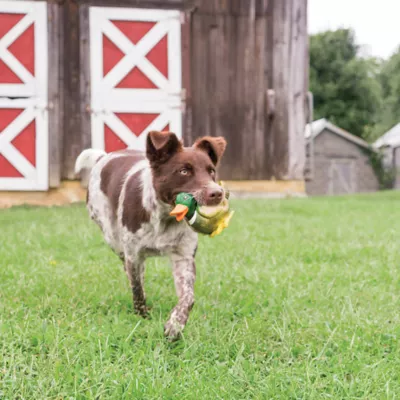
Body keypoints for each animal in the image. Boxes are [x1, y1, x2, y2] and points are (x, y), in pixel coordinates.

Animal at [74, 132, 225, 340]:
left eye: (211, 171)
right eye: (184, 171)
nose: (217, 193)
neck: (165, 217)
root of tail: (102, 157)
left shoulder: (184, 257)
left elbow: (188, 297)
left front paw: (175, 325)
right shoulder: (133, 254)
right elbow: (137, 288)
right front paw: (142, 315)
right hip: (112, 237)